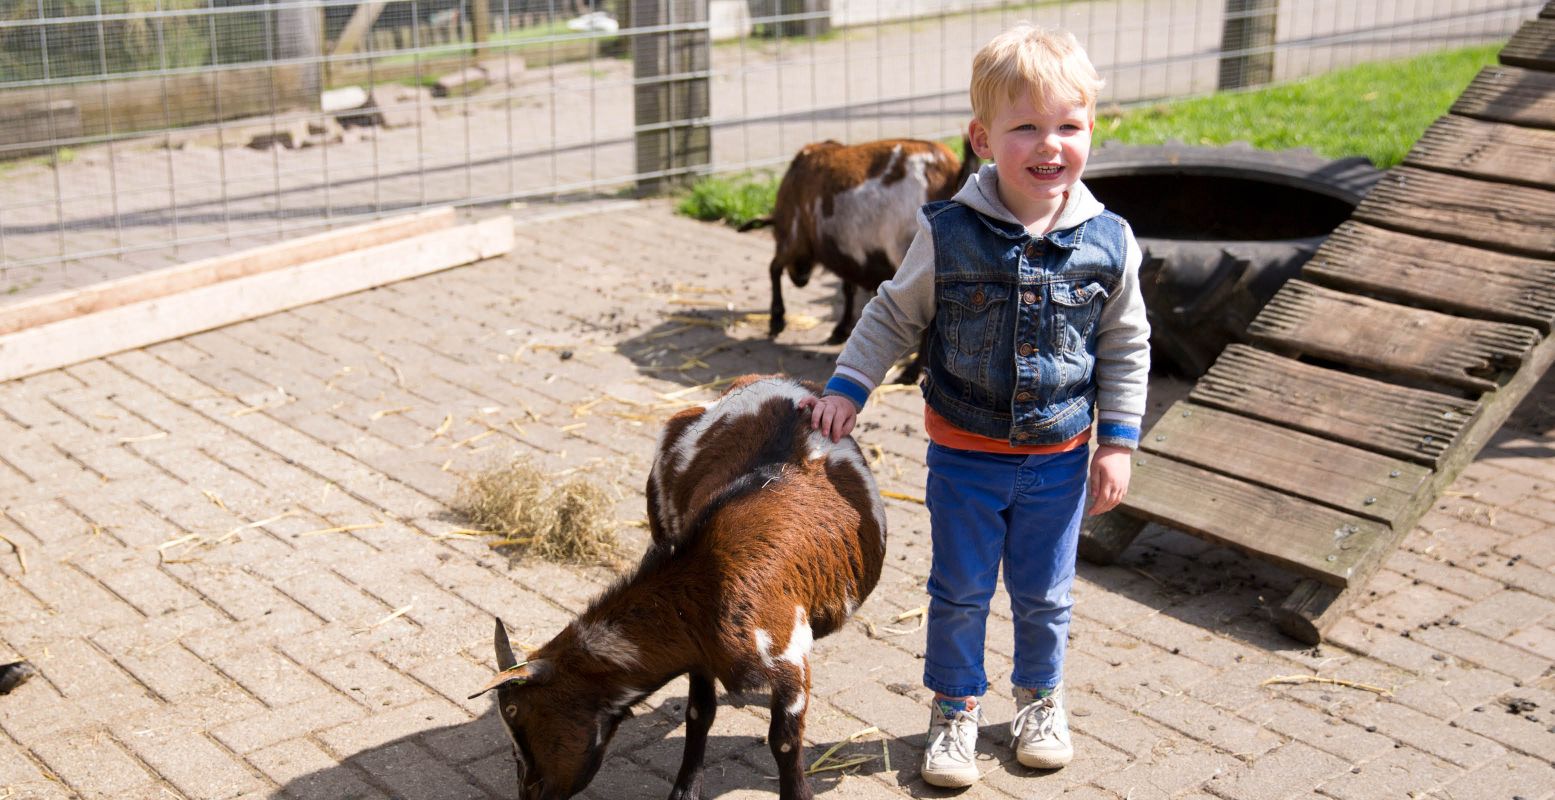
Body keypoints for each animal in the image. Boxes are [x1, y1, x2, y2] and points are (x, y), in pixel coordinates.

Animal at [469, 375, 889, 796]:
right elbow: (699, 714)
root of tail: (769, 381)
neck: (706, 580)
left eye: (517, 713)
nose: (529, 791)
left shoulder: (789, 658)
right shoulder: (699, 654)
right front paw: (685, 789)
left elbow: (784, 743)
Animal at [758, 138, 976, 359]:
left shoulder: (794, 235)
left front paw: (776, 320)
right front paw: (841, 330)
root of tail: (953, 172)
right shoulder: (849, 250)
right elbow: (848, 286)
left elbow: (774, 267)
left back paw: (912, 368)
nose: (800, 279)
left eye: (775, 233)